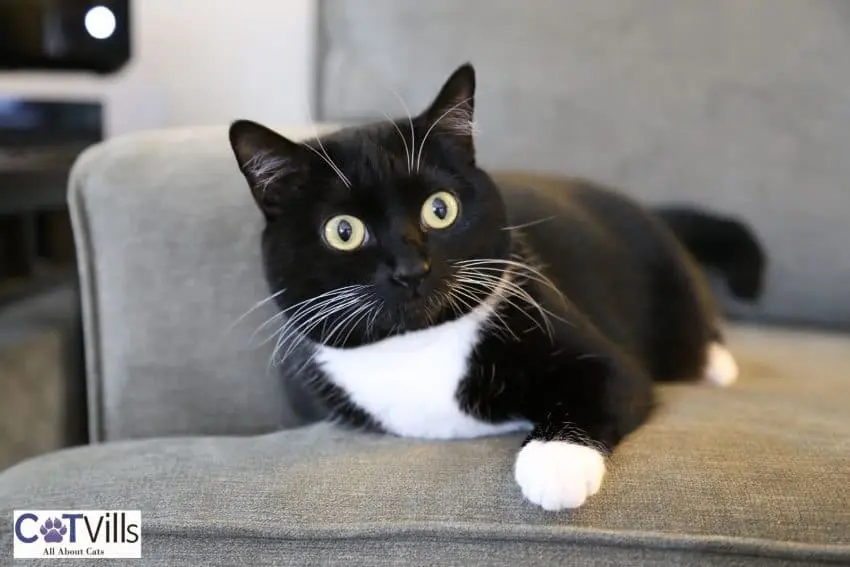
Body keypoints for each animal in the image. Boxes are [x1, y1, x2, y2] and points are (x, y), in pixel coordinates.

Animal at [229, 64, 764, 512]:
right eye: (344, 231)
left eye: (440, 209)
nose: (411, 268)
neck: (420, 347)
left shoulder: (573, 330)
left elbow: (610, 379)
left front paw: (555, 463)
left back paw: (716, 366)